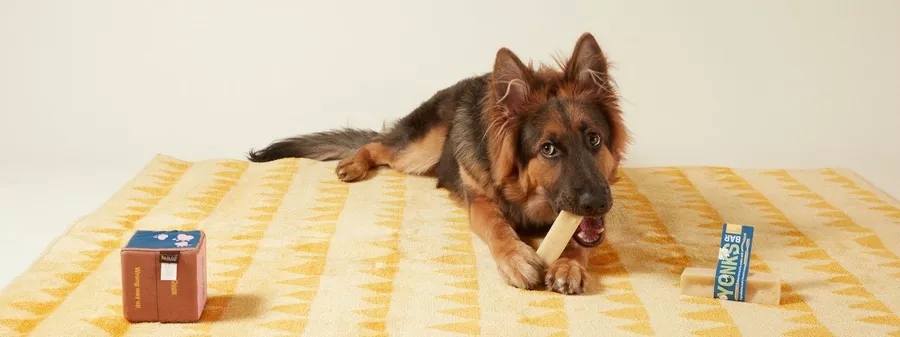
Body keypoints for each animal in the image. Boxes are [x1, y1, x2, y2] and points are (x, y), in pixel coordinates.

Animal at [246, 32, 624, 292]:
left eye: (594, 139)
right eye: (548, 149)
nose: (597, 203)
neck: (528, 198)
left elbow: (580, 240)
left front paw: (569, 264)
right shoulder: (480, 201)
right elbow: (498, 226)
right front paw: (516, 257)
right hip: (418, 150)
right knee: (377, 144)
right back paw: (354, 163)